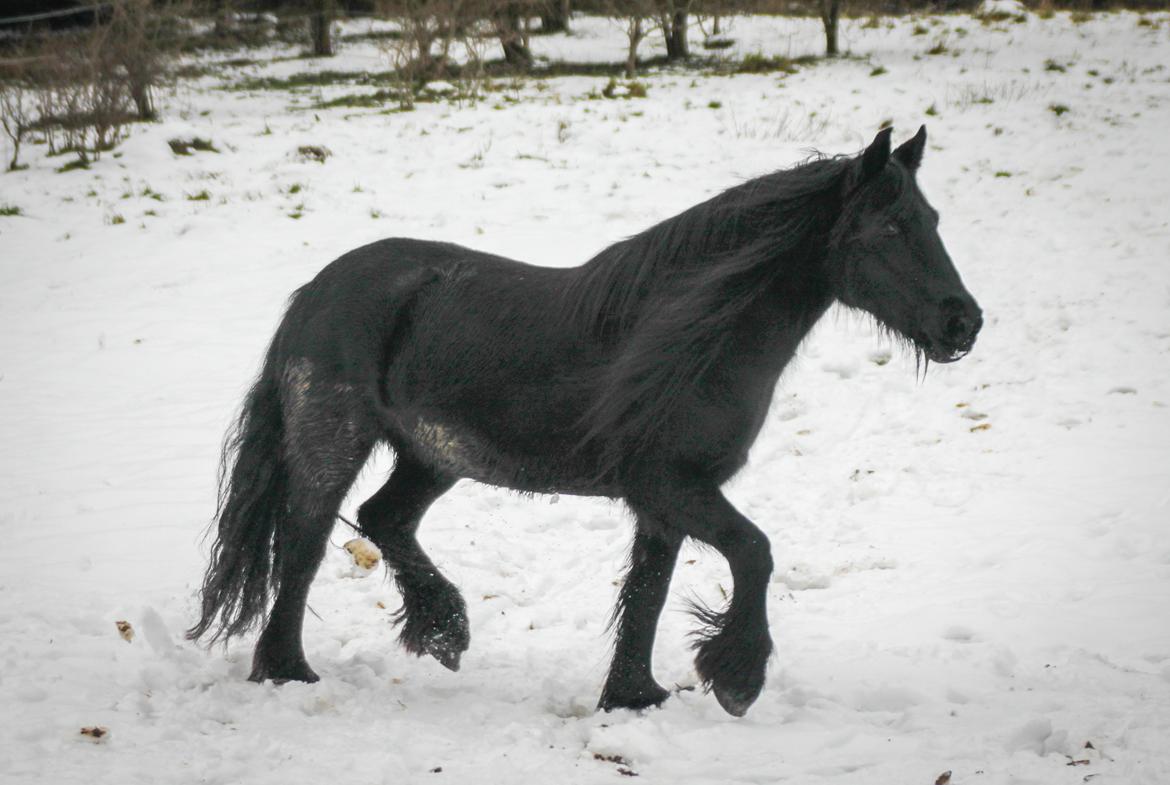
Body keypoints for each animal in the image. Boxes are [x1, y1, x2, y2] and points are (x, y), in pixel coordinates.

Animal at [189, 126, 982, 717]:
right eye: (890, 227)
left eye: (934, 221)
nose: (963, 323)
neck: (695, 330)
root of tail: (317, 291)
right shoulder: (671, 486)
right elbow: (755, 552)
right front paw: (736, 677)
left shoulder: (665, 501)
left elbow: (649, 592)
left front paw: (633, 697)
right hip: (336, 441)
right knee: (304, 542)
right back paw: (288, 670)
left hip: (433, 456)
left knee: (385, 517)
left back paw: (443, 630)